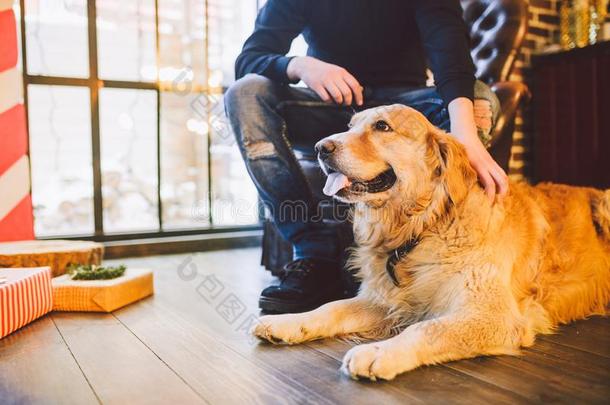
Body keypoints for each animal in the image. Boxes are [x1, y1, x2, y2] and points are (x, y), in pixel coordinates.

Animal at [251, 103, 608, 378]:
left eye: (382, 126)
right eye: (349, 127)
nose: (320, 148)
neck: (422, 226)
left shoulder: (492, 314)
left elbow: (426, 328)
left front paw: (378, 352)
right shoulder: (386, 300)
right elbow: (332, 307)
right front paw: (289, 323)